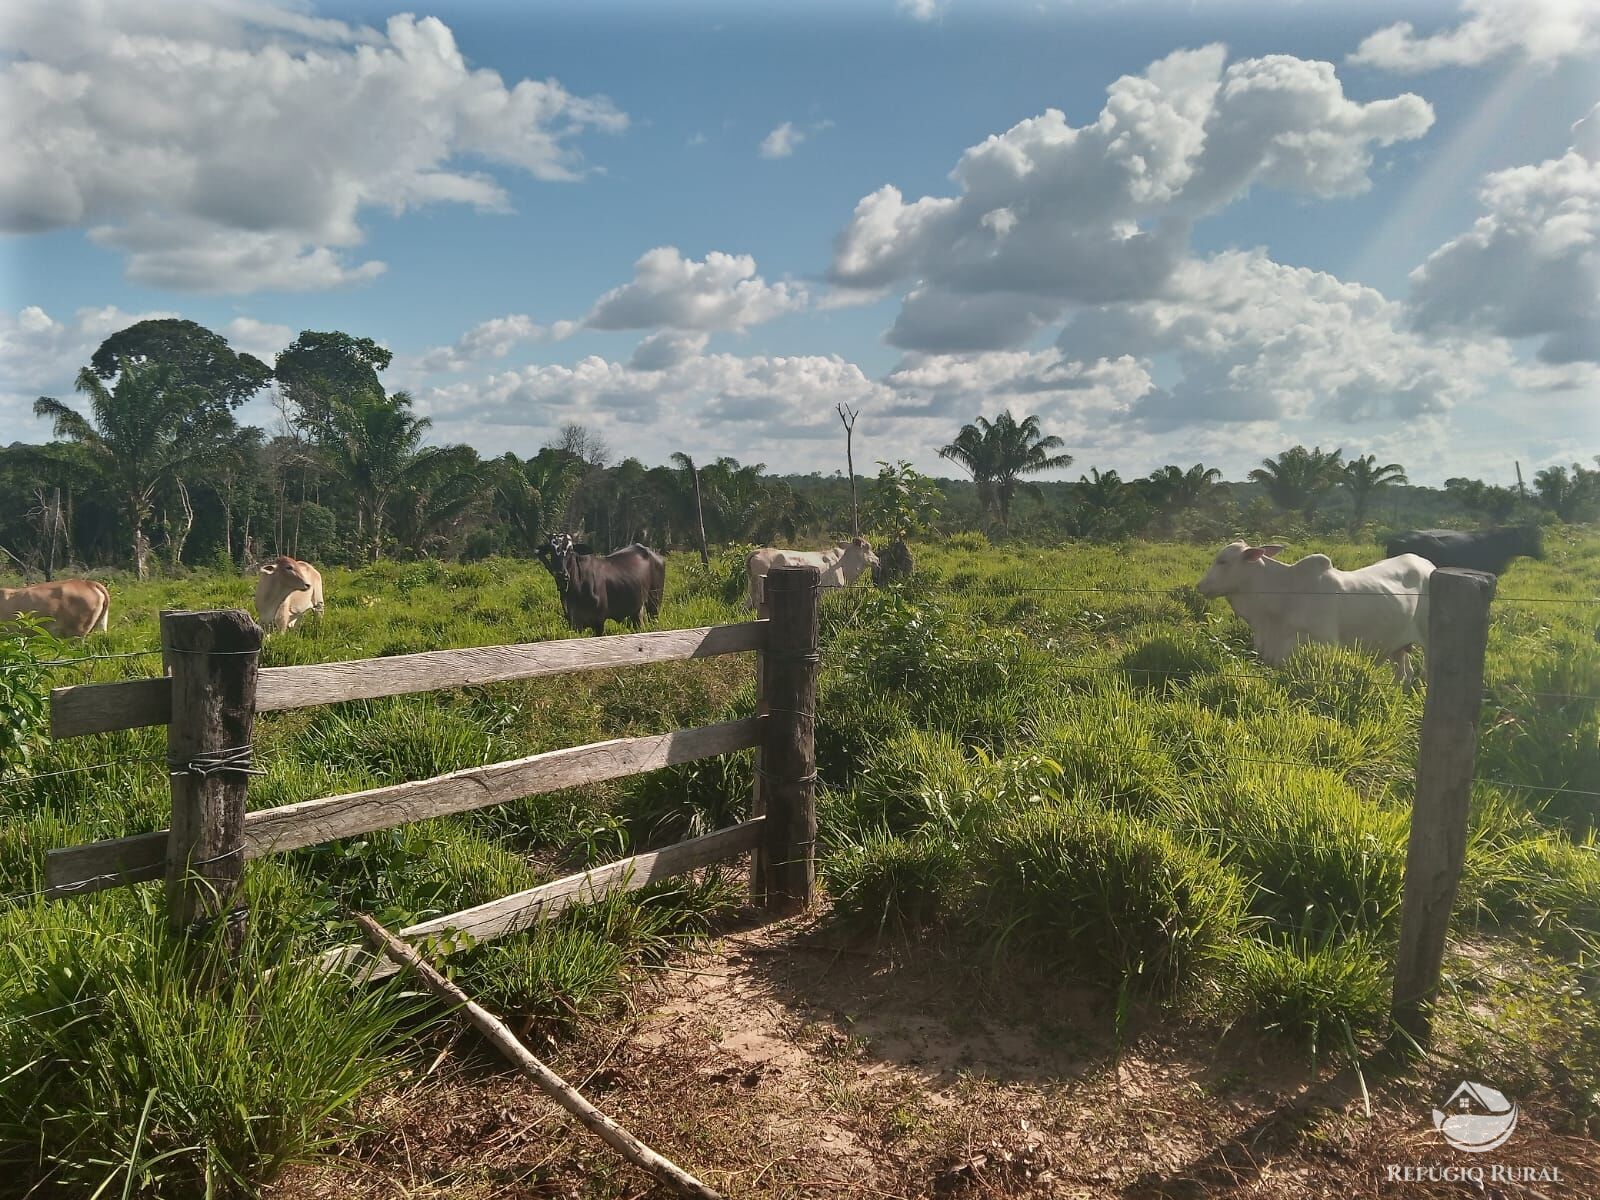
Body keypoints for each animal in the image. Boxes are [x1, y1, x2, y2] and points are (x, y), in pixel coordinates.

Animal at [534, 531, 665, 633]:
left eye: (571, 550)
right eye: (551, 551)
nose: (561, 574)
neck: (576, 589)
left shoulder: (599, 622)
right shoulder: (575, 623)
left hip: (654, 602)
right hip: (636, 609)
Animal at [1196, 544, 1433, 684]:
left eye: (1223, 561)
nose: (1200, 586)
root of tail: (1428, 565)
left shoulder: (1324, 645)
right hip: (1397, 646)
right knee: (1404, 675)